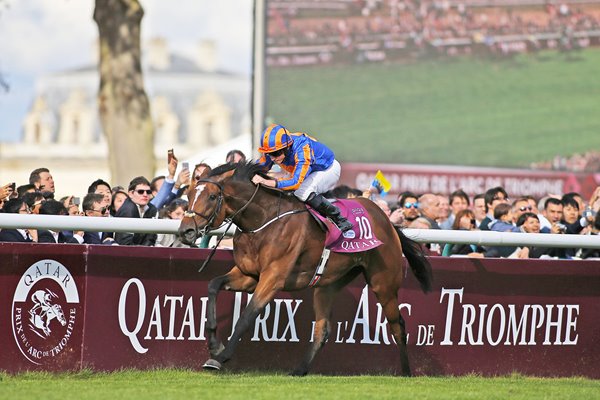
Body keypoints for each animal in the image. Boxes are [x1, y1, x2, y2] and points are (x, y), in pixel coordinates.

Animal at [178, 162, 432, 376]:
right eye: (189, 195)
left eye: (212, 196)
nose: (185, 232)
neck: (263, 220)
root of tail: (387, 221)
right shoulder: (249, 275)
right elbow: (213, 285)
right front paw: (214, 344)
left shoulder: (273, 278)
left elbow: (247, 316)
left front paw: (221, 356)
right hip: (327, 284)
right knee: (323, 329)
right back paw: (299, 370)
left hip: (383, 282)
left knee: (398, 325)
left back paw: (406, 373)